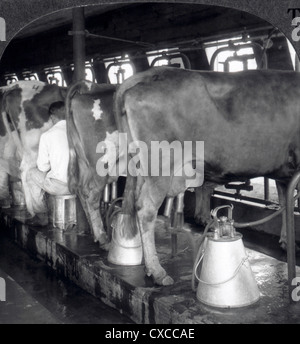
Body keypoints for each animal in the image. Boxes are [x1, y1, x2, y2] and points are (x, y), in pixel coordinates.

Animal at [113, 66, 300, 284]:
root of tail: (157, 71)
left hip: (143, 169)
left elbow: (285, 203)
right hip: (161, 167)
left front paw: (286, 240)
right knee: (146, 209)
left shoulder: (283, 172)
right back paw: (157, 271)